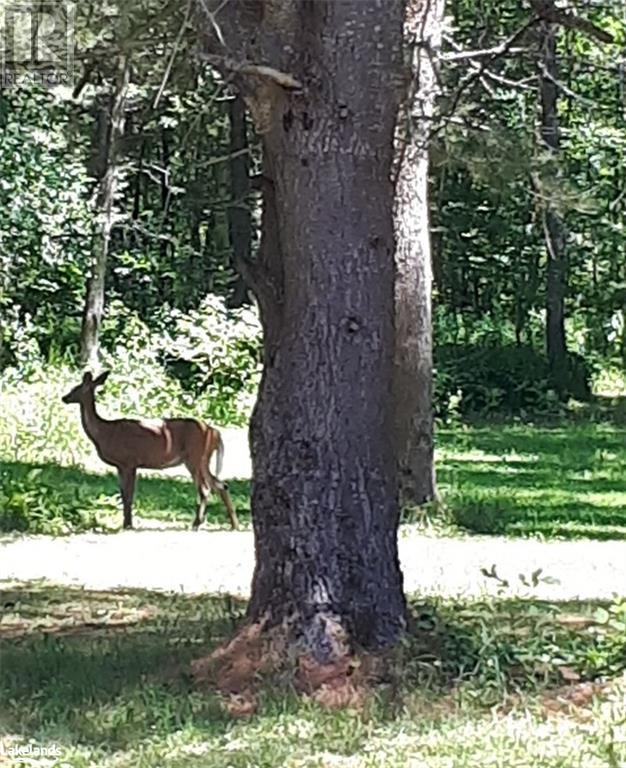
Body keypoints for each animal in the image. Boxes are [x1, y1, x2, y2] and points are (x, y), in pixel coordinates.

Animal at [62, 374, 239, 536]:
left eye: (76, 388)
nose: (64, 398)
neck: (104, 432)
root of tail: (215, 433)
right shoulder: (121, 465)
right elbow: (123, 494)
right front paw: (127, 523)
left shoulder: (129, 462)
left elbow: (128, 495)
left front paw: (128, 525)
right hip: (202, 460)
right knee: (222, 484)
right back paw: (234, 525)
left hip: (195, 457)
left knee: (206, 488)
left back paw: (196, 524)